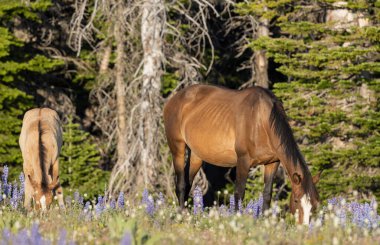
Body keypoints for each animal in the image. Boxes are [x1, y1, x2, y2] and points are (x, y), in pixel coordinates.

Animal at [163, 84, 320, 224]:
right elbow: (239, 193)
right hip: (177, 147)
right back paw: (181, 218)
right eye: (296, 200)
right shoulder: (243, 161)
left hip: (196, 155)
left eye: (315, 203)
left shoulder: (272, 163)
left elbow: (267, 194)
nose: (305, 227)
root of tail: (174, 99)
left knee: (188, 182)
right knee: (181, 184)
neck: (261, 120)